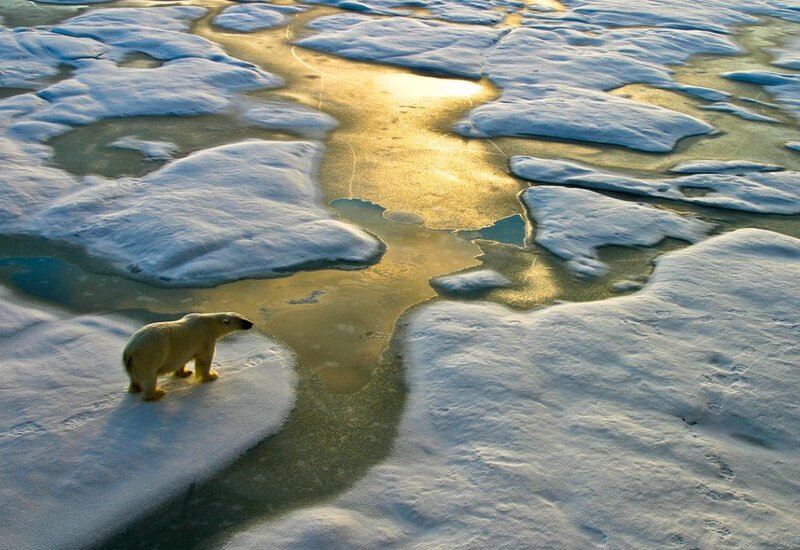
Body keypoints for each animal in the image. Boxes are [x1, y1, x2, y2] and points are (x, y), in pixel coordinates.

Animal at [122, 312, 254, 401]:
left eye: (243, 316)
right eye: (241, 320)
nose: (251, 323)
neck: (209, 324)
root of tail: (129, 351)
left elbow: (183, 360)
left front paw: (185, 372)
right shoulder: (205, 339)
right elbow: (204, 360)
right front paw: (211, 375)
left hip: (132, 364)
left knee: (134, 378)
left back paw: (135, 388)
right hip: (148, 357)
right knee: (150, 377)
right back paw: (157, 393)